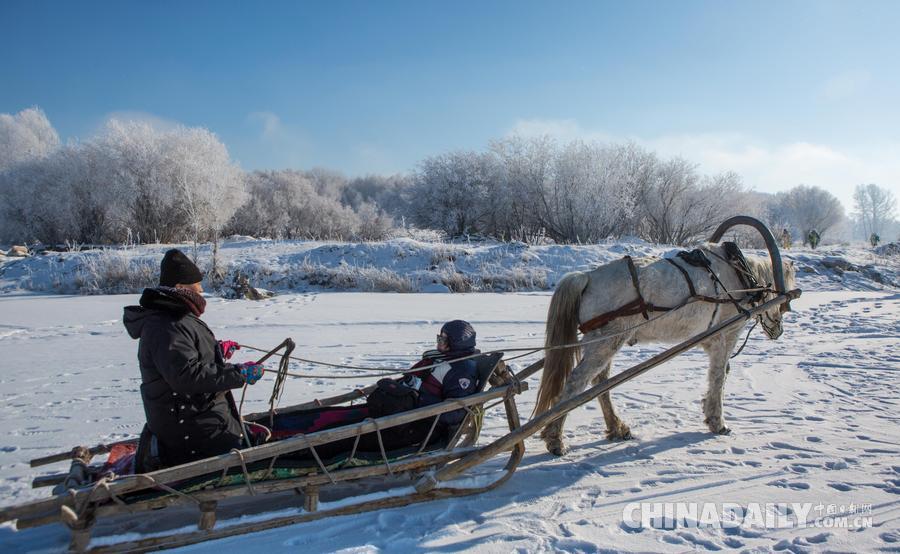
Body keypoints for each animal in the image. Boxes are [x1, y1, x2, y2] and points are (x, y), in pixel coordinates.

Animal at [536, 244, 796, 454]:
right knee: (577, 382)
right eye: (783, 302)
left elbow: (720, 375)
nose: (779, 330)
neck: (739, 276)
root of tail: (587, 276)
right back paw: (555, 439)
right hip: (605, 341)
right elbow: (718, 376)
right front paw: (717, 421)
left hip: (605, 341)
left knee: (600, 382)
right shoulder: (725, 336)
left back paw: (616, 428)